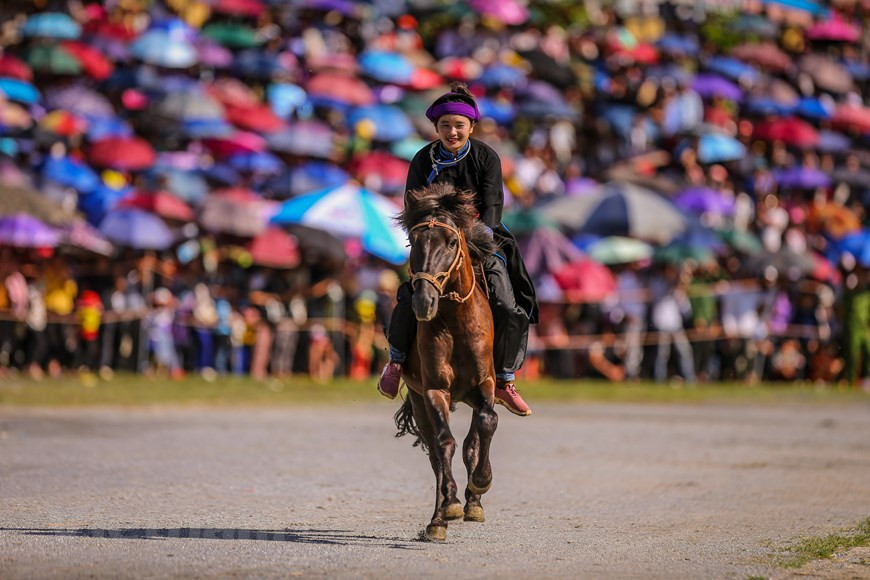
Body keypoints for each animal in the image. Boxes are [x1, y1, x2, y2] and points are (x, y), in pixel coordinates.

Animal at [393, 182, 500, 542]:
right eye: (413, 240)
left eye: (452, 242)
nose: (424, 301)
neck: (455, 321)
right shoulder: (434, 390)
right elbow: (444, 444)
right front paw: (449, 506)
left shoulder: (486, 385)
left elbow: (486, 425)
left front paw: (480, 484)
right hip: (418, 399)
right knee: (437, 455)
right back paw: (438, 519)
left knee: (472, 442)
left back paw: (473, 502)